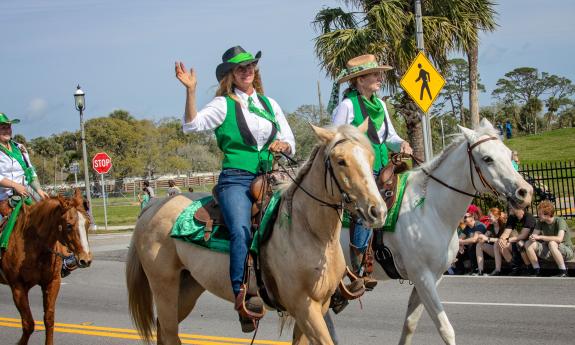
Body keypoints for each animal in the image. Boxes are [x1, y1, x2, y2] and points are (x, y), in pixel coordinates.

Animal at [0, 188, 91, 344]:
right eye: (68, 225)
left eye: (88, 223)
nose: (86, 259)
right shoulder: (17, 287)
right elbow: (28, 324)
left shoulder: (52, 282)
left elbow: (49, 319)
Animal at [126, 124, 388, 344]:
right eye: (340, 160)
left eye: (370, 156)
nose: (377, 211)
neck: (309, 232)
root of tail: (152, 208)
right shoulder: (304, 307)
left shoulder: (319, 306)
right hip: (164, 286)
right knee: (169, 332)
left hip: (190, 286)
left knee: (164, 330)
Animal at [342, 119, 536, 344]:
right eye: (487, 158)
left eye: (508, 154)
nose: (525, 192)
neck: (430, 210)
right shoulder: (422, 276)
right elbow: (445, 328)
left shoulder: (432, 277)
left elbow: (410, 323)